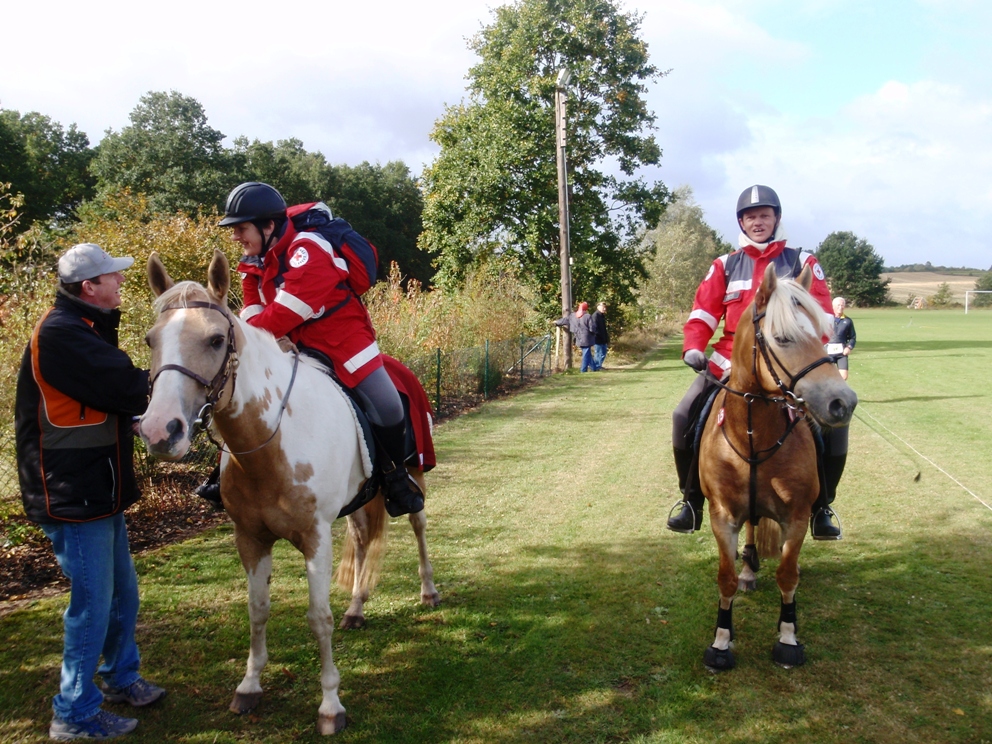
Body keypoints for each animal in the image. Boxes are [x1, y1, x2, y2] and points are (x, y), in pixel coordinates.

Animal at [138, 250, 440, 732]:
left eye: (216, 340)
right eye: (151, 340)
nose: (159, 431)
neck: (269, 443)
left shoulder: (314, 539)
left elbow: (318, 617)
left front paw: (331, 705)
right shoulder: (250, 538)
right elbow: (257, 609)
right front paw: (249, 686)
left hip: (415, 475)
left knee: (418, 525)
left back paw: (428, 591)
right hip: (359, 499)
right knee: (362, 536)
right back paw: (357, 606)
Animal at [696, 264, 852, 672]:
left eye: (823, 334)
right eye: (782, 338)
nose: (843, 402)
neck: (754, 436)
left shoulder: (795, 517)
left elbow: (787, 574)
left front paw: (788, 638)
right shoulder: (722, 516)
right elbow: (725, 577)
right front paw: (721, 642)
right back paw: (749, 570)